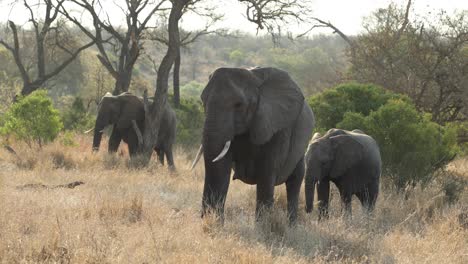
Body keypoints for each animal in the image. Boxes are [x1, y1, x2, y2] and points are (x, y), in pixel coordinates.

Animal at [192, 67, 316, 224]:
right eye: (203, 102)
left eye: (239, 104)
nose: (204, 219)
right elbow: (221, 170)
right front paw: (214, 224)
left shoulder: (277, 127)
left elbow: (266, 174)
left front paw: (262, 228)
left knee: (295, 181)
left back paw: (292, 226)